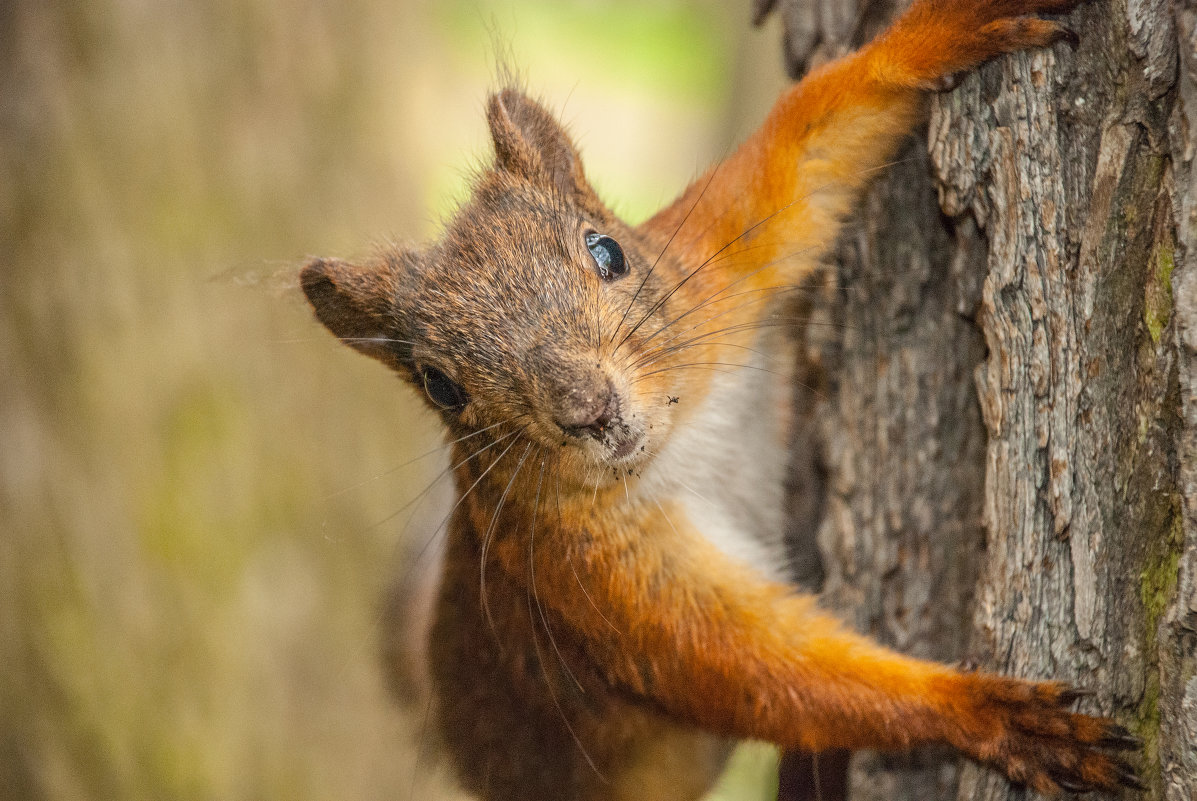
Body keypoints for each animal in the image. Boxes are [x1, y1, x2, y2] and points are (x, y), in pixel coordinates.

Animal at [296, 1, 1139, 799]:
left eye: (607, 250)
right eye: (441, 385)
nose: (587, 408)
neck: (678, 439)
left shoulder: (716, 261)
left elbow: (807, 153)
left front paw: (938, 32)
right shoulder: (582, 578)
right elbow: (762, 674)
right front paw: (980, 711)